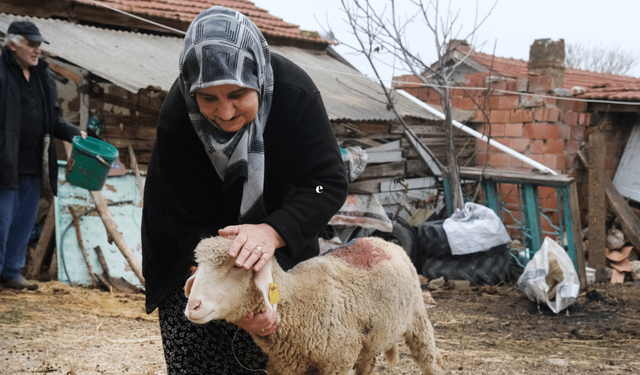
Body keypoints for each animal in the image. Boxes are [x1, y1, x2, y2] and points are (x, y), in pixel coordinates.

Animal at [184, 236, 444, 374]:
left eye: (237, 265)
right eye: (197, 266)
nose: (192, 307)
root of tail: (381, 240)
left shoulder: (337, 364)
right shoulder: (283, 367)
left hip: (418, 320)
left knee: (429, 361)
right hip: (369, 342)